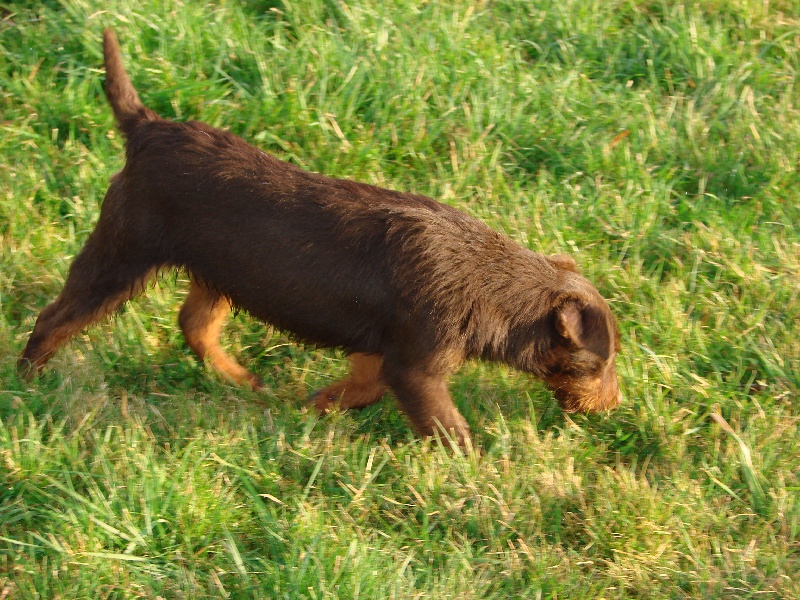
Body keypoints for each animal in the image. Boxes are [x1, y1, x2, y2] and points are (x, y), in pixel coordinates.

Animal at [17, 30, 620, 448]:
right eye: (601, 363)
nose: (614, 406)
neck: (496, 285)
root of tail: (145, 127)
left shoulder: (378, 353)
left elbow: (359, 388)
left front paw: (313, 409)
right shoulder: (417, 364)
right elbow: (449, 428)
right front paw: (479, 472)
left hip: (222, 270)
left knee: (194, 325)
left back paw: (243, 381)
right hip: (122, 253)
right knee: (56, 317)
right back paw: (30, 383)